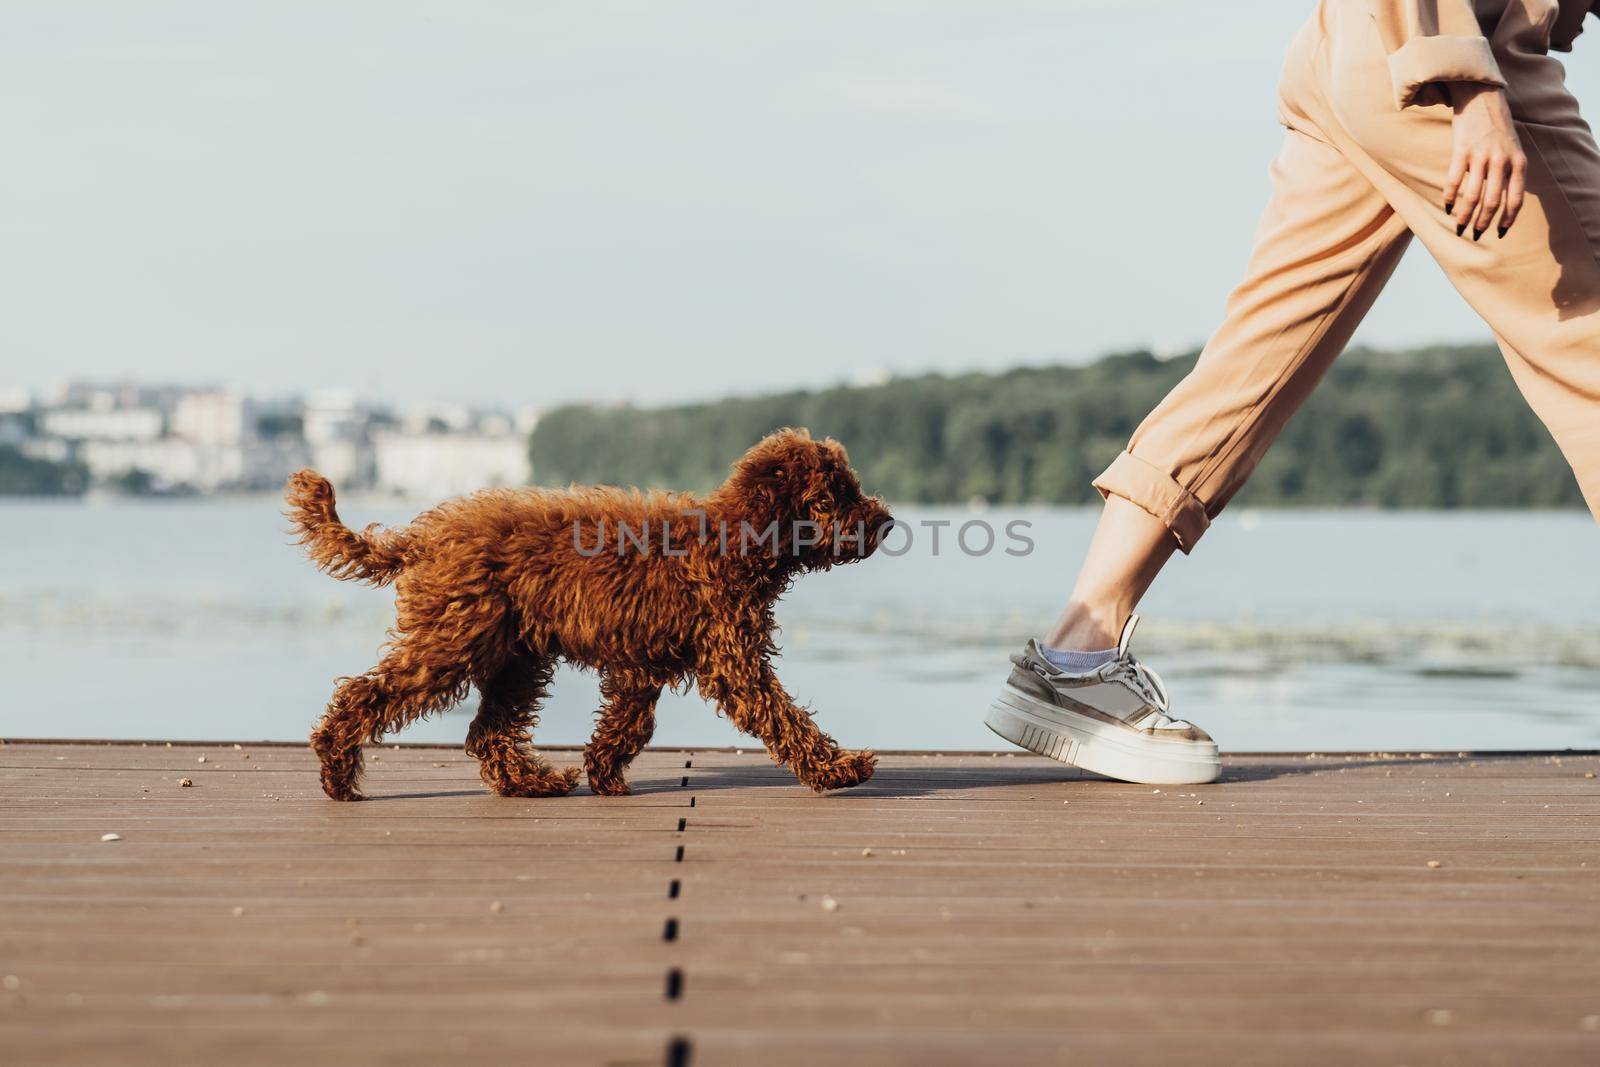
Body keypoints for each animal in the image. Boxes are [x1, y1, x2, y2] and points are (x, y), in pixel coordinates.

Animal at [284, 425, 889, 799]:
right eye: (835, 495)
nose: (884, 521)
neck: (735, 540)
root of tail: (422, 540)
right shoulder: (731, 659)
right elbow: (782, 717)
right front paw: (837, 769)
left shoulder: (642, 666)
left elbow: (627, 721)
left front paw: (603, 772)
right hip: (451, 643)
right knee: (364, 695)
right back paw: (337, 773)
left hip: (516, 657)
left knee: (487, 732)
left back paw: (533, 784)